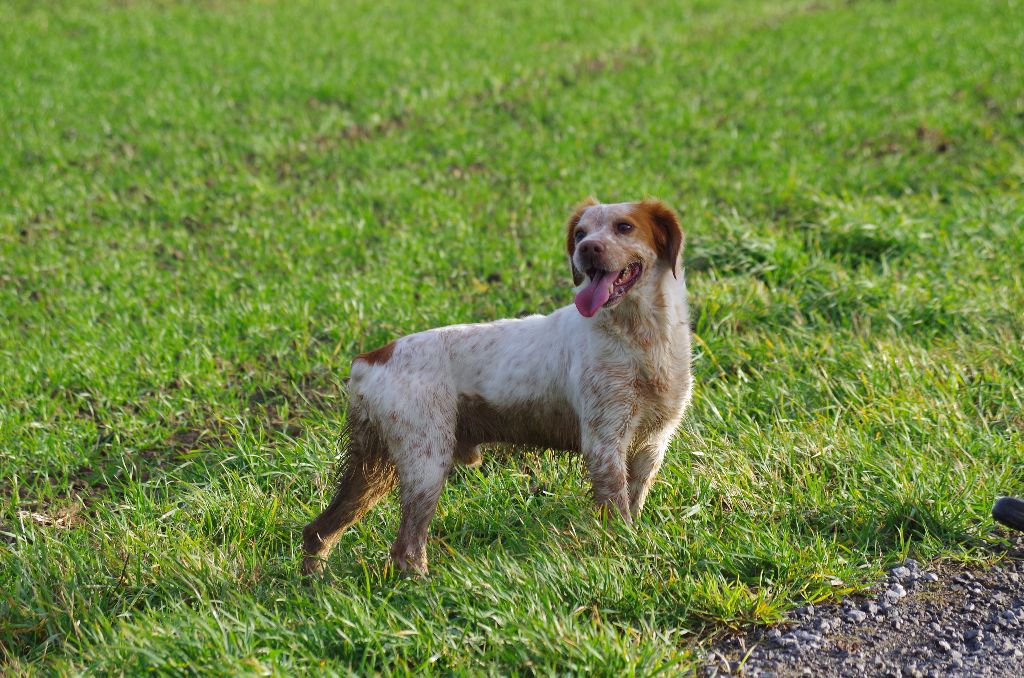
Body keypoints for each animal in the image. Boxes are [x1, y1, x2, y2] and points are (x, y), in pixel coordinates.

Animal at [299, 199, 692, 577]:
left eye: (624, 226)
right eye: (580, 233)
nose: (587, 248)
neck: (640, 338)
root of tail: (370, 358)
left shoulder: (652, 443)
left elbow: (634, 501)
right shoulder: (604, 442)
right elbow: (619, 514)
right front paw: (624, 553)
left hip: (371, 468)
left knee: (318, 530)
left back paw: (314, 581)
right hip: (425, 461)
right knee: (405, 549)